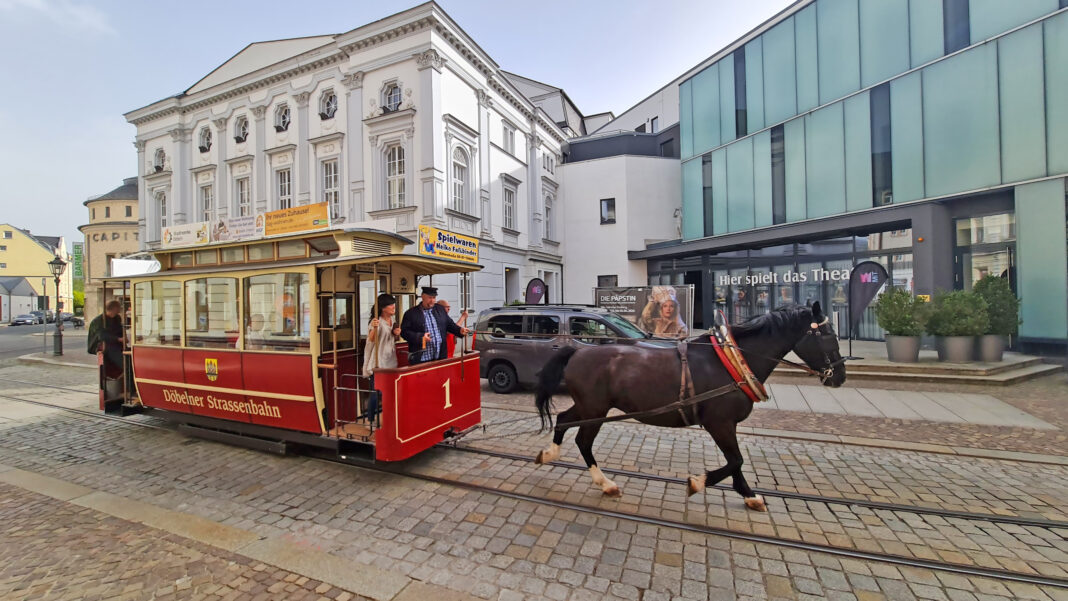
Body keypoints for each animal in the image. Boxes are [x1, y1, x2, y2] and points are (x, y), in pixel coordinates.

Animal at [538, 303, 845, 510]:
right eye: (829, 335)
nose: (840, 376)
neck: (731, 362)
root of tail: (578, 351)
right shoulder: (719, 423)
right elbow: (736, 460)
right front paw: (698, 482)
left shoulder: (726, 425)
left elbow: (735, 461)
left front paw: (749, 495)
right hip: (595, 411)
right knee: (583, 441)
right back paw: (606, 483)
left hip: (589, 407)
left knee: (563, 419)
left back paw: (549, 453)